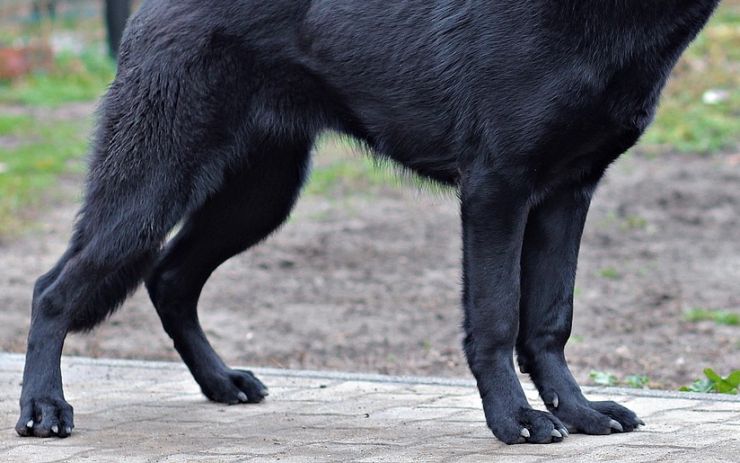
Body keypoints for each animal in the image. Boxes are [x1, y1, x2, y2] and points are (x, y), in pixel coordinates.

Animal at [15, 0, 716, 446]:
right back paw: (43, 407)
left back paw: (220, 383)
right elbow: (496, 319)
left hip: (258, 199)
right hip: (151, 188)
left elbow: (548, 321)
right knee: (52, 289)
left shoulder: (567, 196)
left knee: (170, 278)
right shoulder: (497, 190)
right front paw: (513, 419)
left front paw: (578, 412)